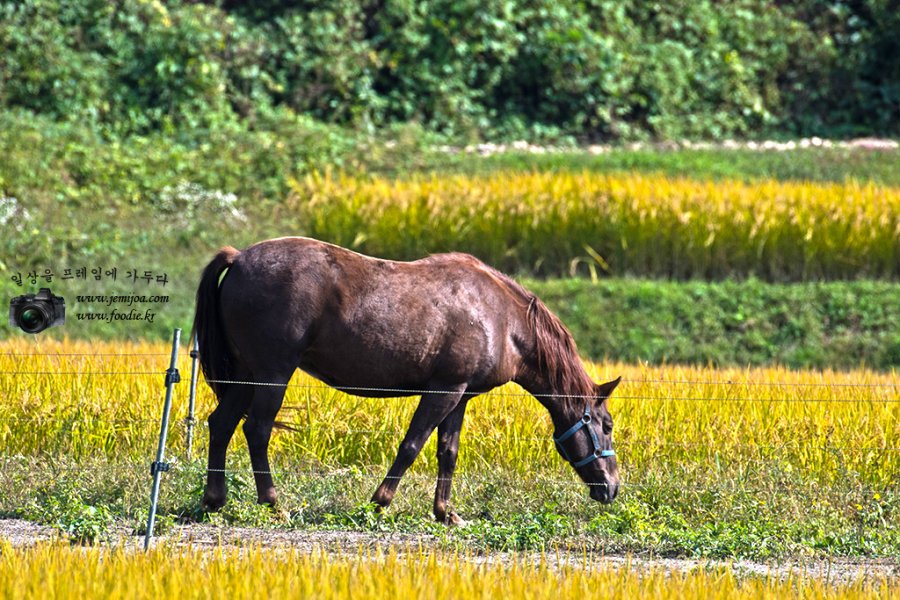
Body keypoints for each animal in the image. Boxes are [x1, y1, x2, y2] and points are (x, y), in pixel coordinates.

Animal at [193, 237, 624, 524]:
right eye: (606, 425)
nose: (612, 487)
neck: (500, 317)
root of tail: (239, 257)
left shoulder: (461, 396)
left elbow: (447, 452)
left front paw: (445, 512)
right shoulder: (443, 390)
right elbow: (411, 445)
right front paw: (379, 501)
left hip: (248, 377)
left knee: (222, 424)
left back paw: (215, 498)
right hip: (272, 375)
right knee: (257, 429)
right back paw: (272, 501)